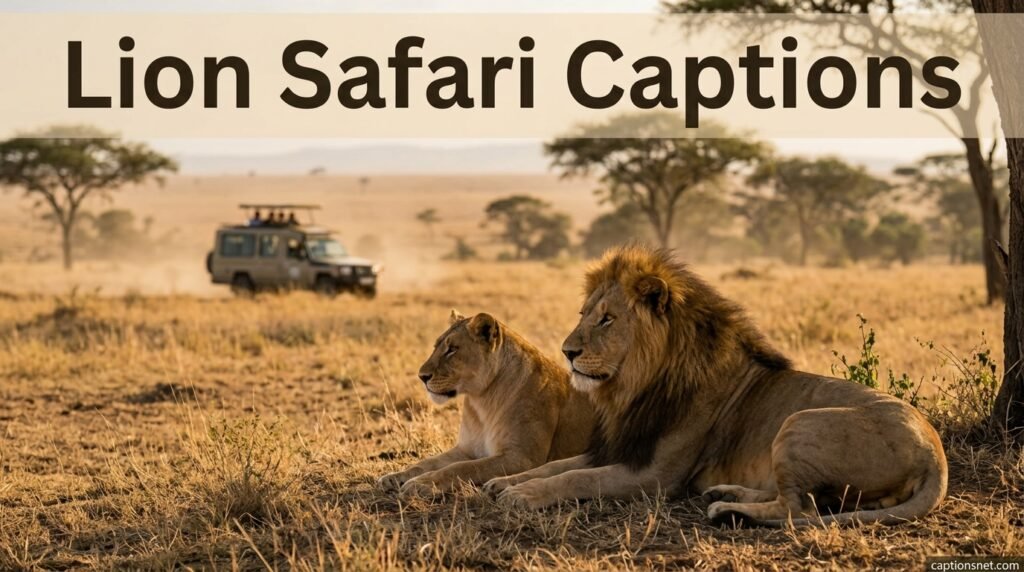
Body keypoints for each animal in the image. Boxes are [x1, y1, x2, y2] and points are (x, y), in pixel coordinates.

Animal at [378, 310, 595, 496]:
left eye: (452, 350)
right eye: (436, 347)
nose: (421, 376)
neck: (482, 401)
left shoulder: (522, 458)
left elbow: (462, 468)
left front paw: (421, 483)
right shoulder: (466, 449)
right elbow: (427, 463)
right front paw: (394, 477)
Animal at [484, 245, 947, 526]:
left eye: (607, 319)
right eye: (584, 314)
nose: (566, 352)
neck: (637, 386)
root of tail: (934, 454)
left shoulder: (656, 475)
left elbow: (577, 479)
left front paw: (522, 496)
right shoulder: (618, 446)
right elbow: (556, 466)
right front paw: (503, 482)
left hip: (799, 423)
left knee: (798, 510)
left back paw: (728, 509)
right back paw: (726, 491)